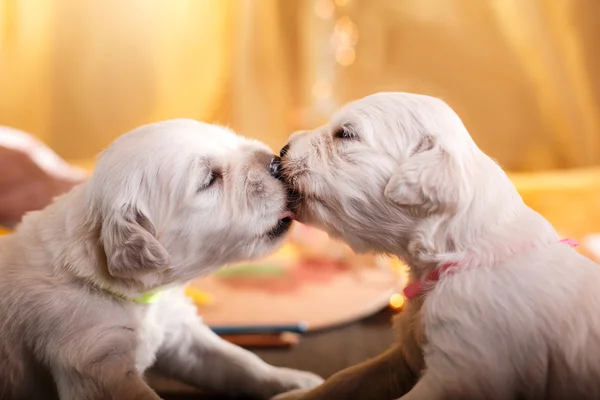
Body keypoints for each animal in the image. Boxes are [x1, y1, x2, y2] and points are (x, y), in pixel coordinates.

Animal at [0, 119, 324, 400]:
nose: (276, 162)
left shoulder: (180, 332)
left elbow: (238, 360)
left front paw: (297, 382)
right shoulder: (94, 361)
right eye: (209, 180)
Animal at [274, 93, 600, 400]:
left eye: (346, 134)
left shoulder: (462, 369)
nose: (281, 151)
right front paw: (294, 395)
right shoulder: (406, 353)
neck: (459, 255)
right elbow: (347, 378)